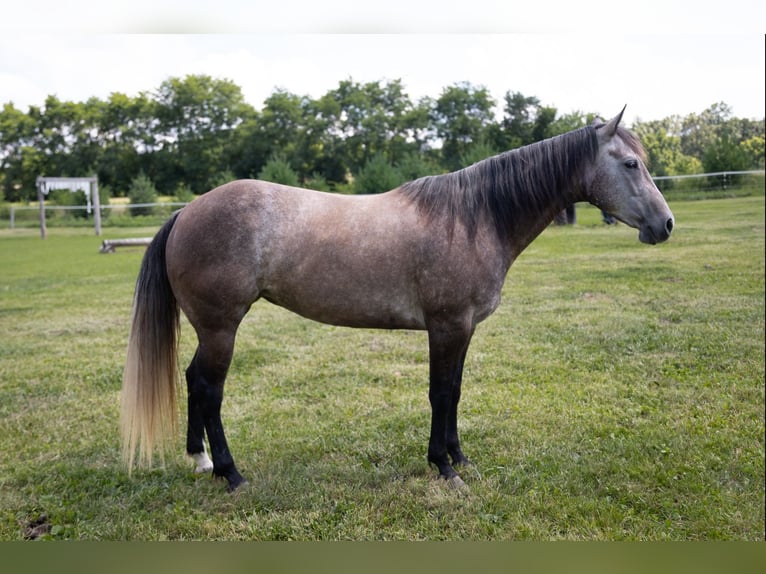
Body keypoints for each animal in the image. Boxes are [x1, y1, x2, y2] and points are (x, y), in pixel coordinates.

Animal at [120, 107, 674, 492]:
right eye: (630, 163)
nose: (665, 224)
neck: (473, 218)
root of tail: (187, 211)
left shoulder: (463, 329)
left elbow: (455, 392)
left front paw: (459, 457)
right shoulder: (448, 326)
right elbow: (441, 393)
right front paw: (444, 467)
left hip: (211, 329)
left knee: (192, 381)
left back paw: (201, 461)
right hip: (221, 328)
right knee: (209, 389)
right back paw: (231, 474)